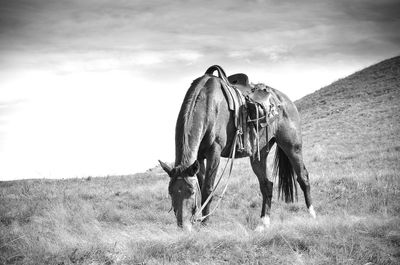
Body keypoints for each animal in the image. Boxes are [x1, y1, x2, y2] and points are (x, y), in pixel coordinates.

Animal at [158, 66, 318, 231]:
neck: (210, 104)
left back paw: (312, 215)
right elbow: (202, 186)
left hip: (292, 146)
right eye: (170, 192)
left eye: (191, 192)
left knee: (303, 177)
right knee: (266, 184)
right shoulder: (199, 158)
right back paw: (263, 223)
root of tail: (285, 100)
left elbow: (208, 188)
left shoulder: (214, 152)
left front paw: (205, 223)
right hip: (259, 153)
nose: (183, 226)